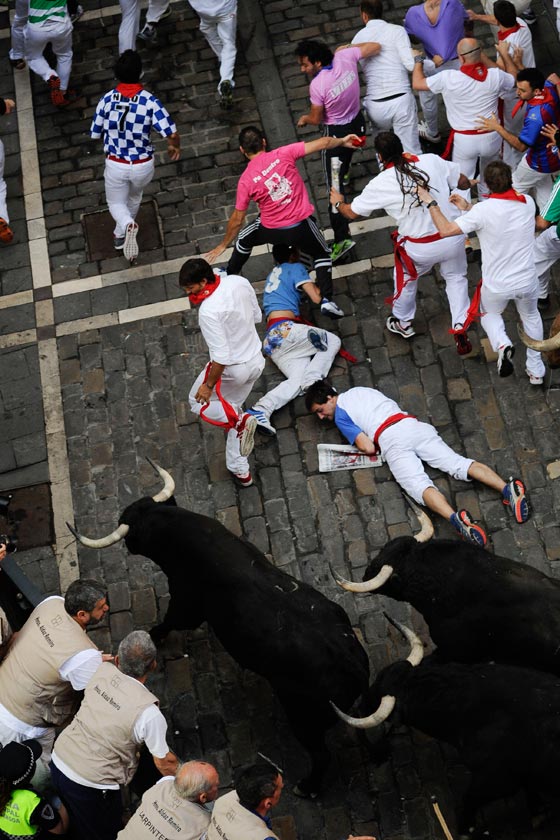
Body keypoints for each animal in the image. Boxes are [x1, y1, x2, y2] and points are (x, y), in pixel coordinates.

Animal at [68, 462, 370, 797]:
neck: (178, 532)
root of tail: (350, 661)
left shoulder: (186, 603)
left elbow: (170, 620)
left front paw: (153, 635)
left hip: (304, 718)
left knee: (320, 755)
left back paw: (307, 787)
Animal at [334, 621, 560, 839]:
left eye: (379, 691)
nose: (361, 704)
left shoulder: (493, 780)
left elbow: (469, 801)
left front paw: (466, 830)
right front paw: (538, 811)